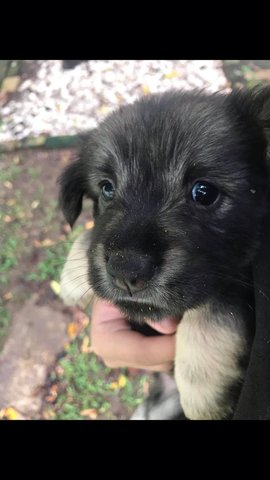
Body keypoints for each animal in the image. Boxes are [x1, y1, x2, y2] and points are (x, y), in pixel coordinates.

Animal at [59, 87, 270, 420]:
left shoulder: (235, 280)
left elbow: (214, 311)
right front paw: (70, 279)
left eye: (204, 192)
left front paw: (204, 395)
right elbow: (91, 234)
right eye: (106, 188)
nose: (126, 272)